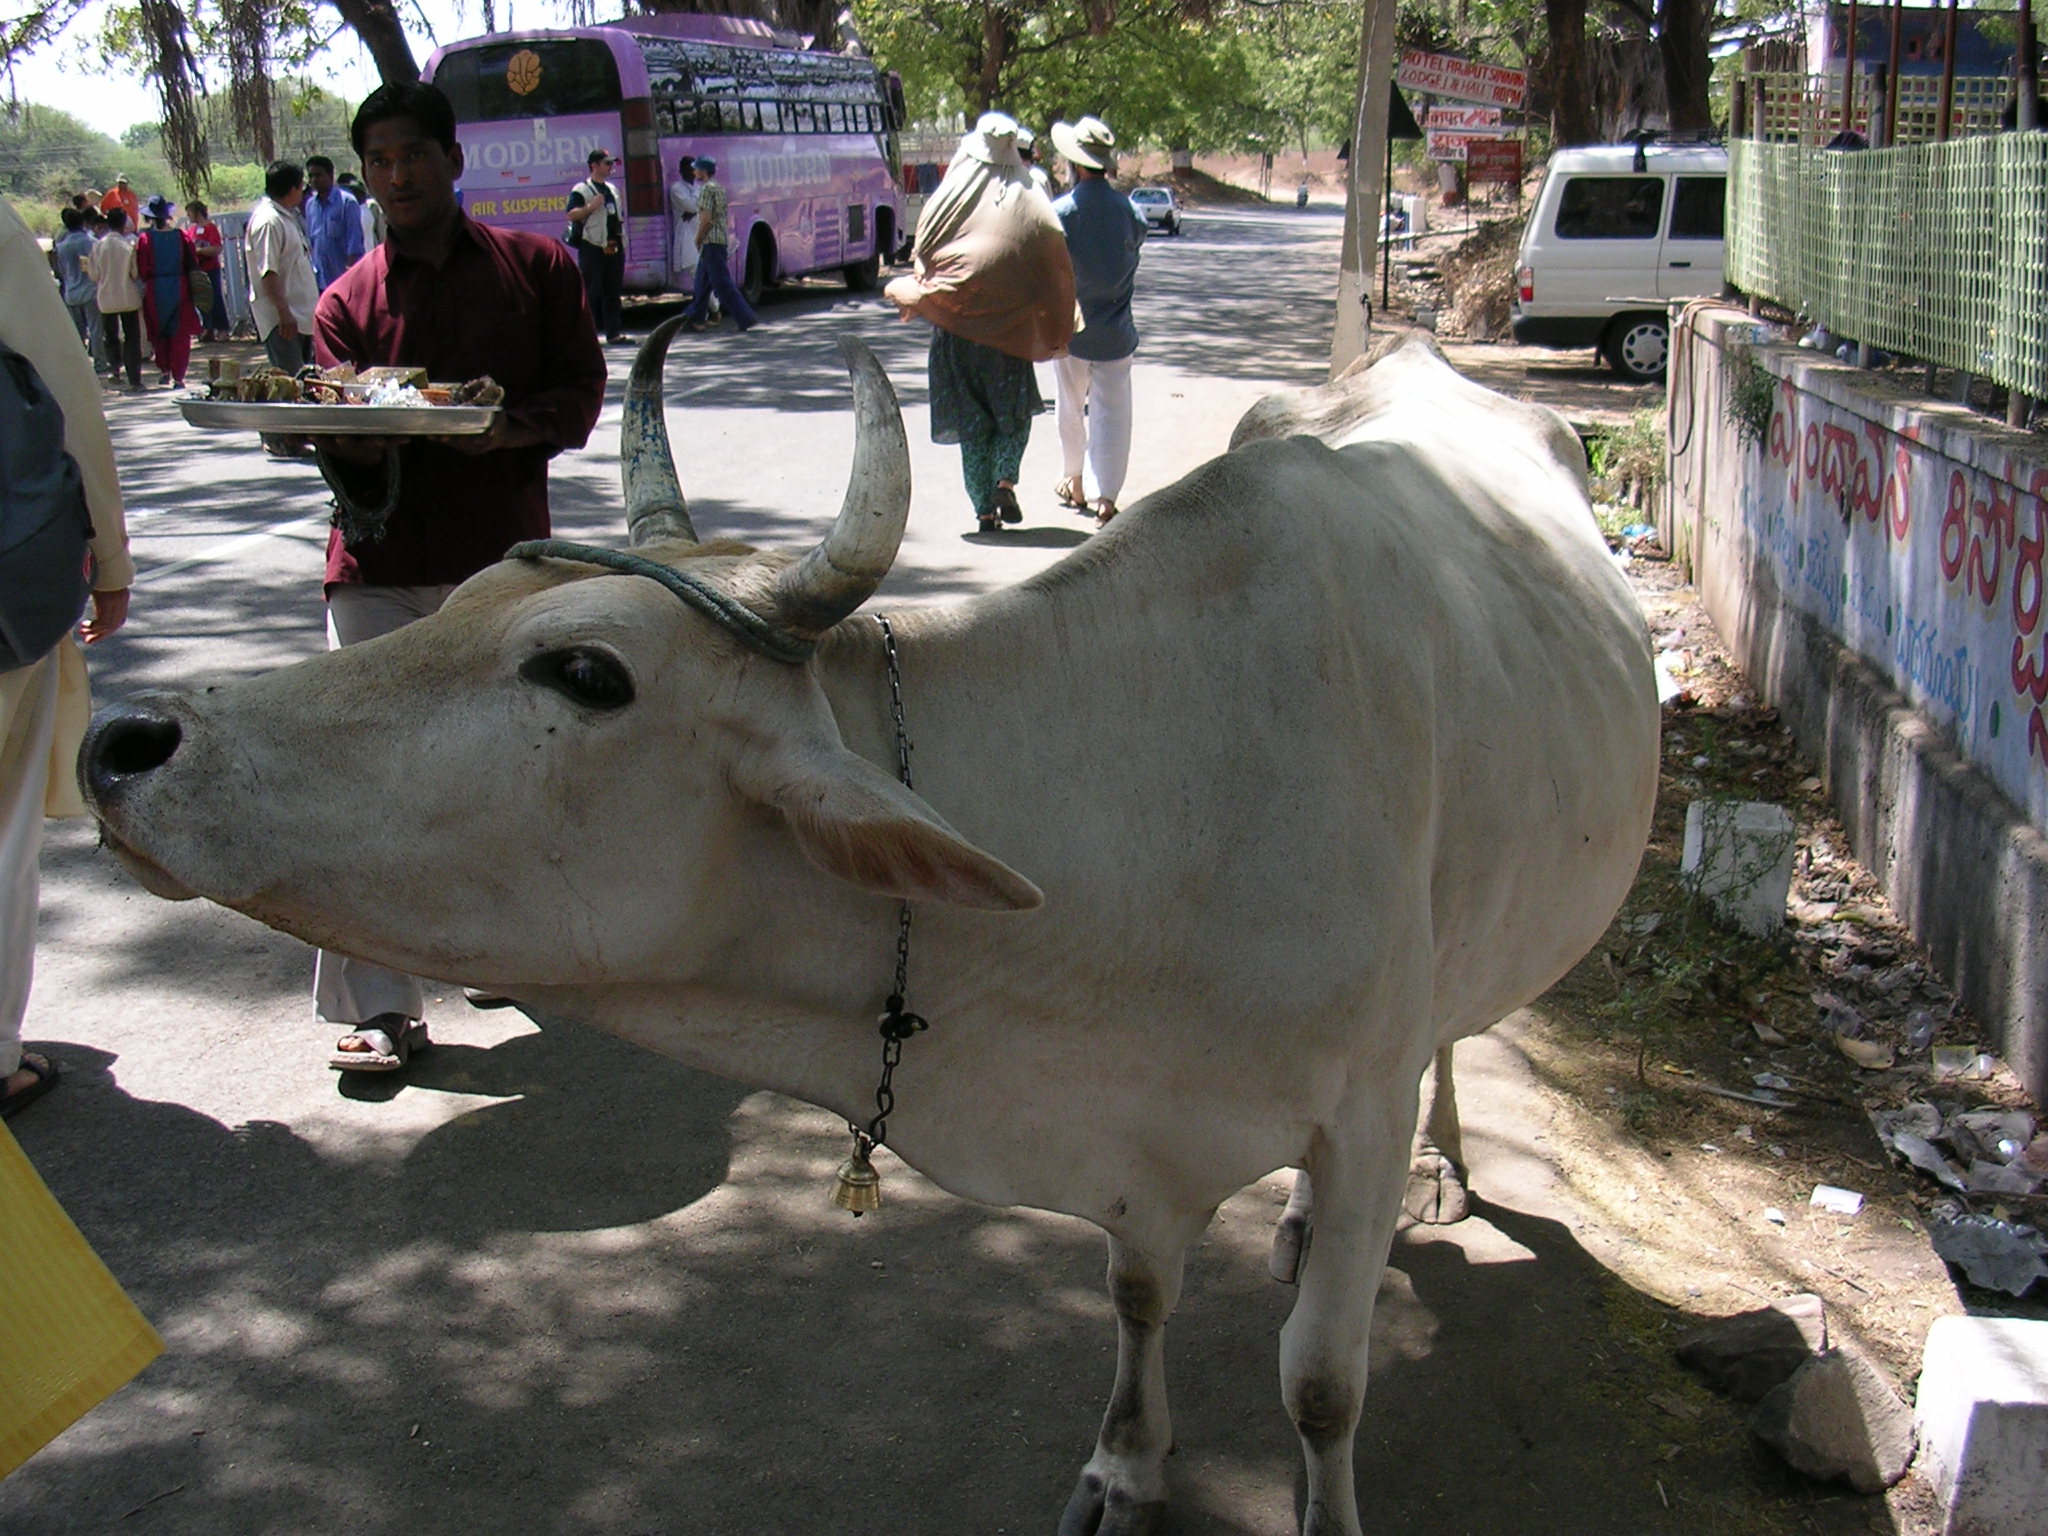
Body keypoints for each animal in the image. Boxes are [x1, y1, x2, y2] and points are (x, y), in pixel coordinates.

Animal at [80, 325, 1658, 1536]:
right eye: (459, 595)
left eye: (587, 672)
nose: (123, 741)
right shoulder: (1139, 1148)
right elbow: (1137, 1291)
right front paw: (1123, 1464)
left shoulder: (1356, 1100)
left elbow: (1322, 1385)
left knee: (1455, 1036)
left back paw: (1433, 1176)